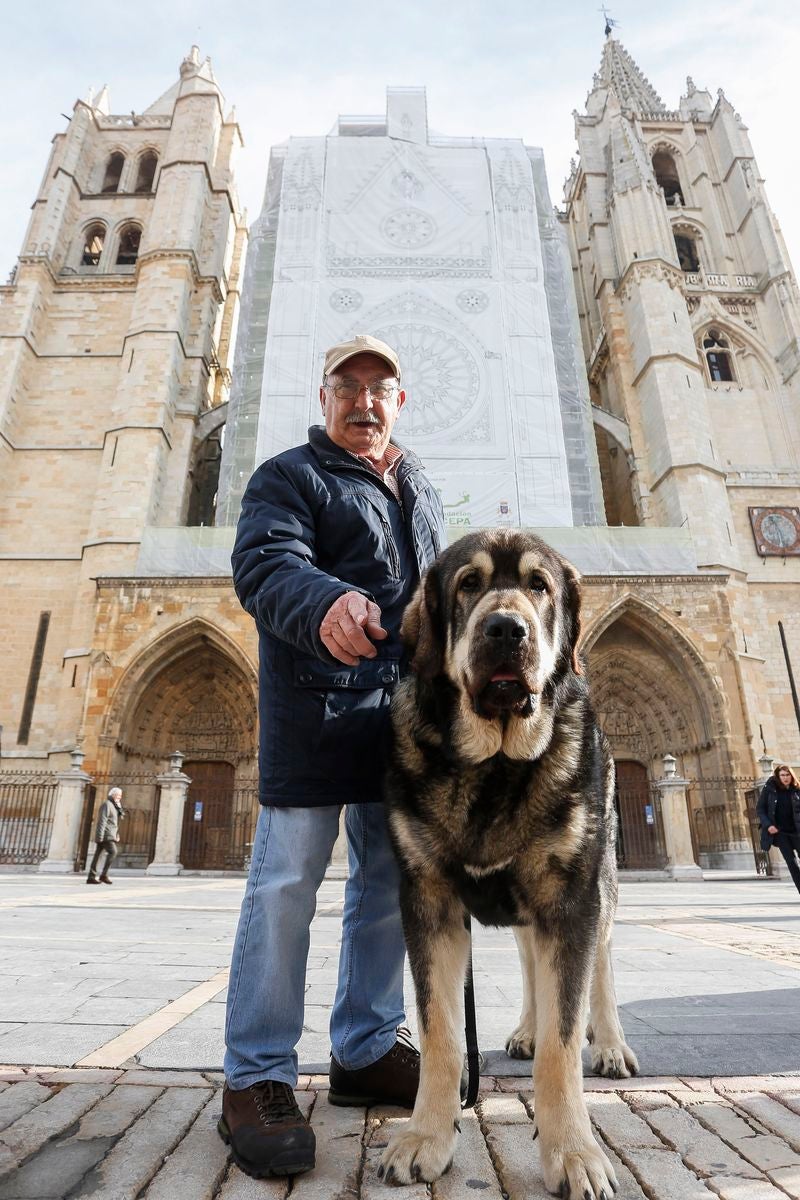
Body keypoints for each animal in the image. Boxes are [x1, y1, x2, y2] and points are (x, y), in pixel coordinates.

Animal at [381, 530, 638, 1200]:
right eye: (468, 583)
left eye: (538, 586)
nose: (505, 628)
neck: (494, 767)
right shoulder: (428, 901)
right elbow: (442, 1034)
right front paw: (427, 1136)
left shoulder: (570, 901)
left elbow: (563, 1040)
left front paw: (574, 1151)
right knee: (528, 964)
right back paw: (525, 1029)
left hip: (598, 885)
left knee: (601, 968)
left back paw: (611, 1046)